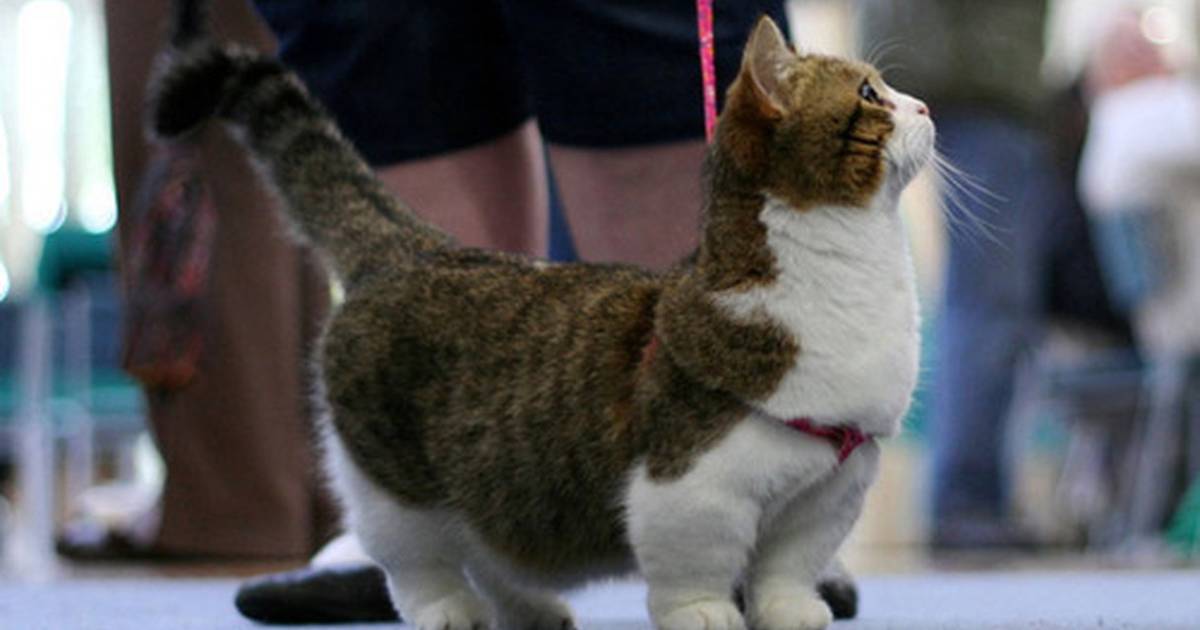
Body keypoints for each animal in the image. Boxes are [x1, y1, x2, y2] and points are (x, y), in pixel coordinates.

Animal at [150, 2, 931, 624]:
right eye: (870, 92)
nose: (924, 107)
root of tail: (413, 247)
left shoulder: (828, 492)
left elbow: (786, 568)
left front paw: (793, 611)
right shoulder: (691, 489)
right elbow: (696, 570)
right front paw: (705, 614)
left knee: (486, 545)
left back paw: (530, 609)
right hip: (390, 484)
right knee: (419, 562)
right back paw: (450, 610)